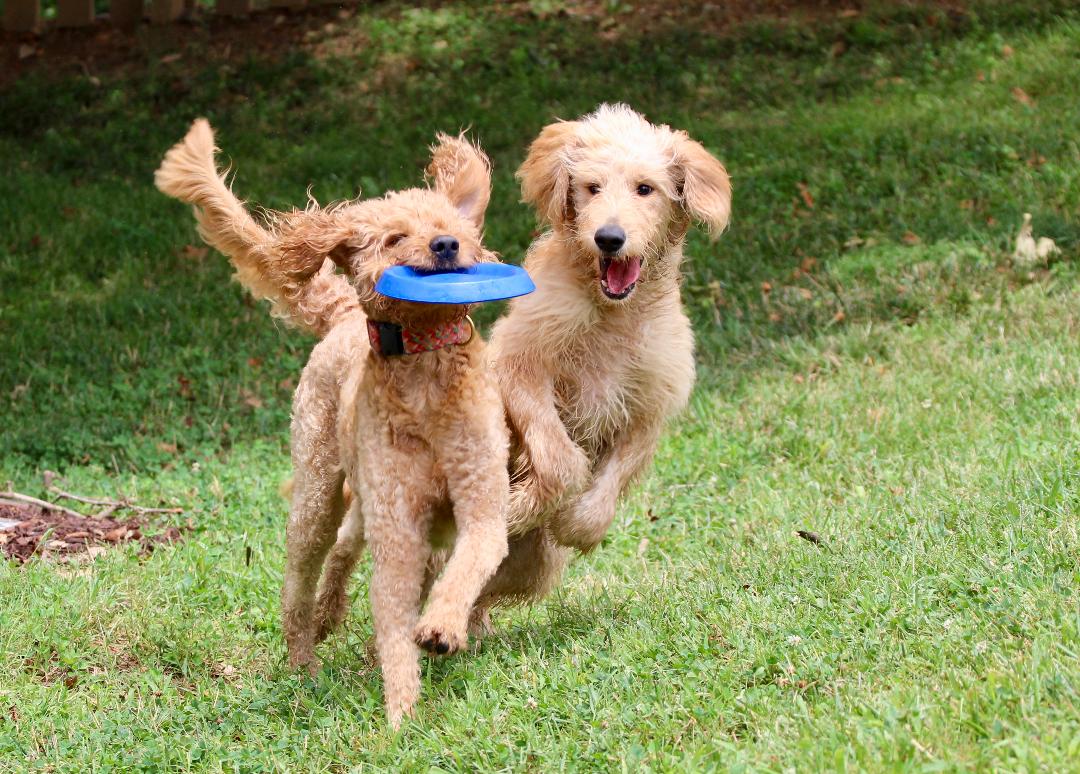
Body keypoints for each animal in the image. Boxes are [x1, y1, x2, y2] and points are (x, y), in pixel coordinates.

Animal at [154, 119, 507, 725]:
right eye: (394, 238)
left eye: (453, 227)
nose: (445, 246)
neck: (424, 365)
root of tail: (341, 319)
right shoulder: (398, 527)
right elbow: (393, 620)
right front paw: (402, 716)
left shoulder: (483, 502)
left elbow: (465, 567)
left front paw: (441, 627)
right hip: (318, 492)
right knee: (303, 576)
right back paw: (305, 658)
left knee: (346, 547)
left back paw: (331, 616)